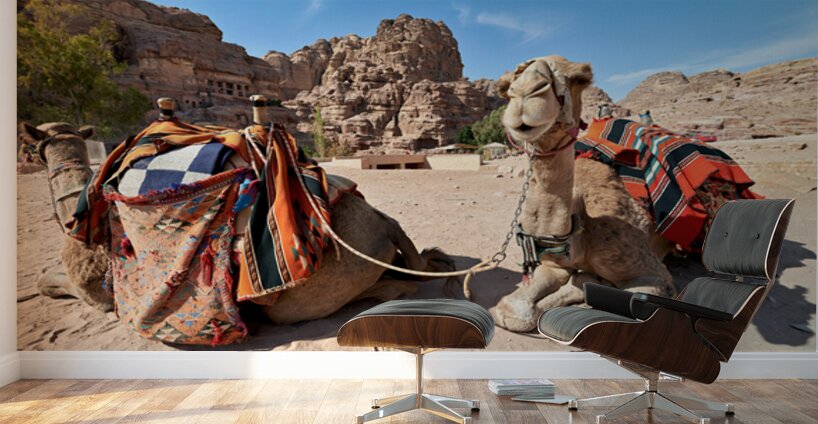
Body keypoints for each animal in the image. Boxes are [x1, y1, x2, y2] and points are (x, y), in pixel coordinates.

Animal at [17, 97, 455, 330]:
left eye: (29, 146)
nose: (22, 156)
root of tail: (385, 224)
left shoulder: (96, 295)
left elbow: (47, 280)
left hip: (302, 300)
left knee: (392, 290)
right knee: (412, 267)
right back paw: (433, 260)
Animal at [492, 56, 675, 332]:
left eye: (580, 78)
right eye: (505, 87)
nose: (526, 92)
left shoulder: (657, 276)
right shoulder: (552, 265)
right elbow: (511, 309)